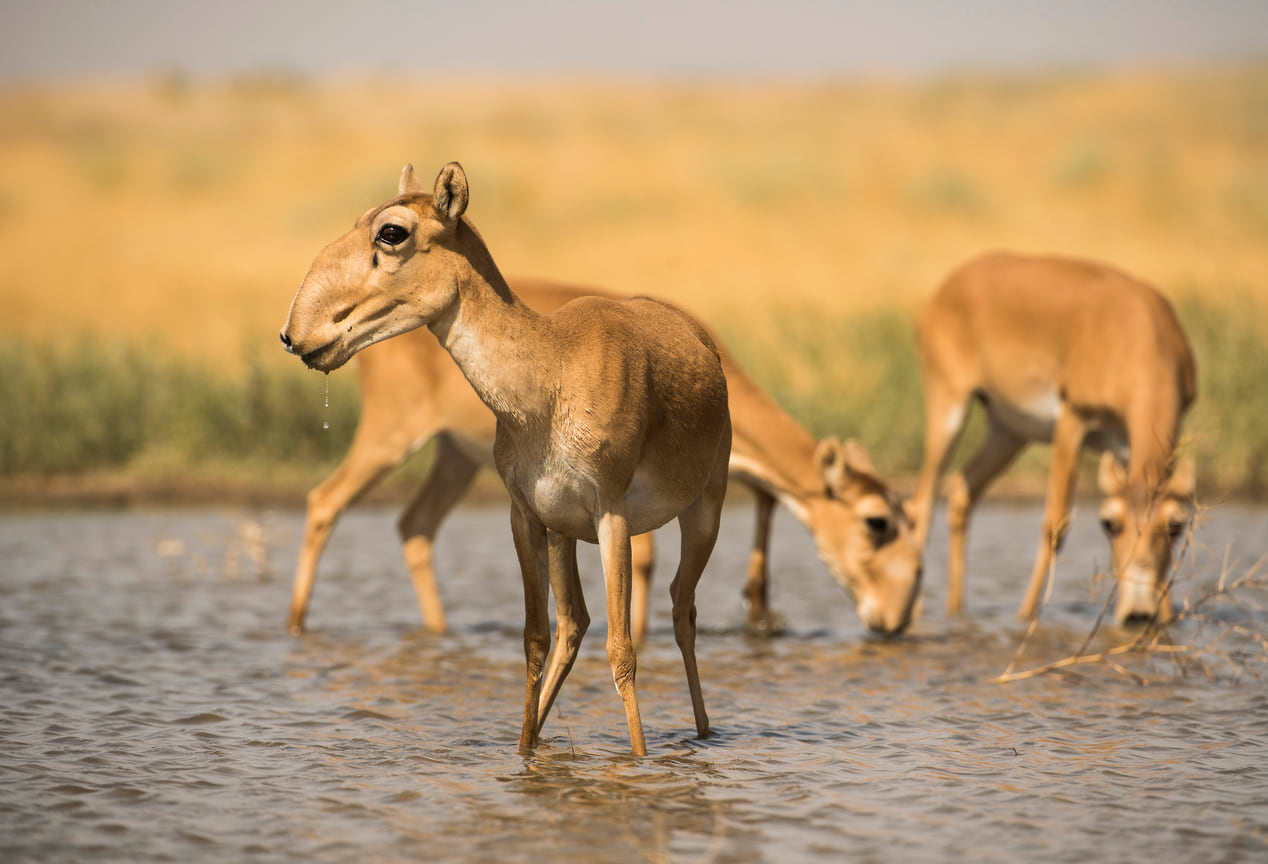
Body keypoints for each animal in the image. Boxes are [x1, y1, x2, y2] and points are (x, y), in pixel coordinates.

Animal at [281, 163, 730, 756]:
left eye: (392, 231)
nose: (296, 334)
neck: (550, 376)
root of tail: (706, 346)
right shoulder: (527, 517)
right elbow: (536, 640)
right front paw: (523, 754)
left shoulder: (612, 516)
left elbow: (622, 650)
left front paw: (637, 760)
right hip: (565, 534)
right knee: (576, 624)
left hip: (703, 514)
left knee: (682, 611)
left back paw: (703, 732)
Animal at [287, 276, 923, 639]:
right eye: (877, 522)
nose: (895, 621)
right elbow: (644, 561)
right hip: (390, 437)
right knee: (323, 501)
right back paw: (295, 625)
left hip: (454, 459)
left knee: (415, 525)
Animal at [907, 252, 1191, 624]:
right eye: (1109, 523)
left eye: (1176, 526)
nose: (1138, 614)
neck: (1140, 334)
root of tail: (952, 282)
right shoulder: (1073, 421)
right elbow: (1056, 525)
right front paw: (1025, 617)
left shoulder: (1130, 446)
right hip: (949, 406)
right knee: (922, 504)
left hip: (1009, 432)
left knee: (961, 491)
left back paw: (955, 610)